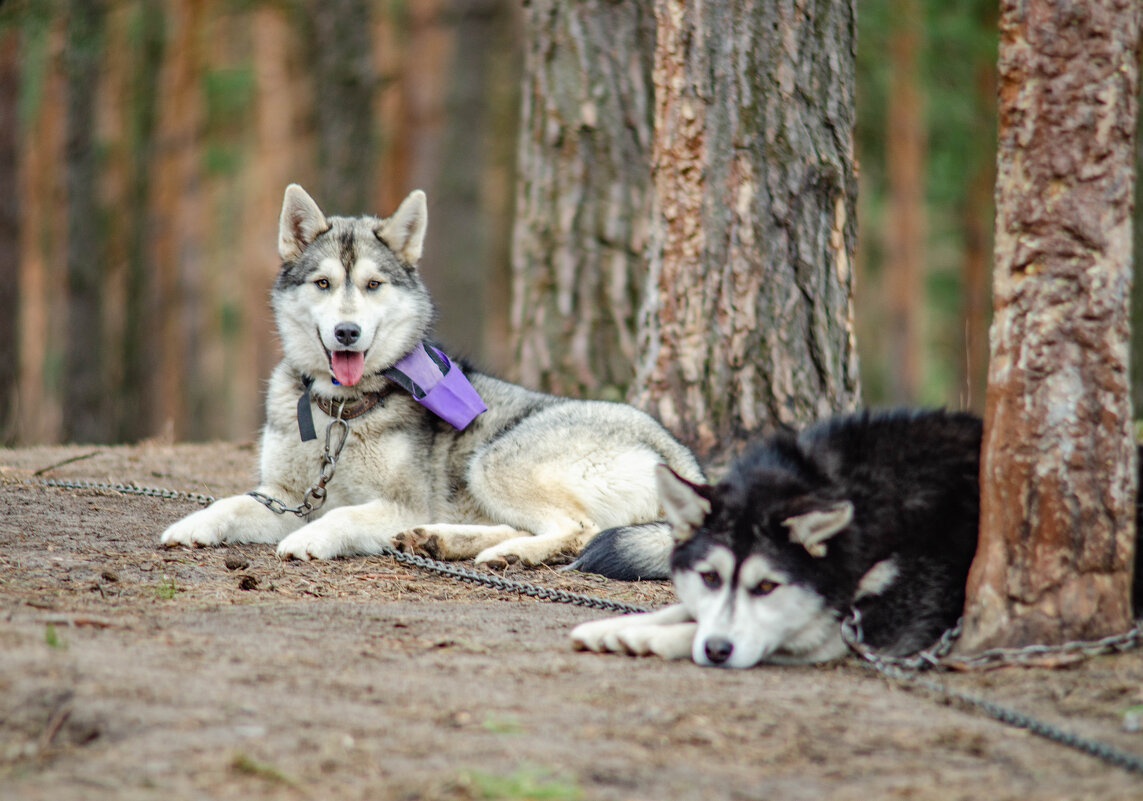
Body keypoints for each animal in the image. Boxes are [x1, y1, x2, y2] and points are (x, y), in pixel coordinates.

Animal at [576, 409, 987, 667]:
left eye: (767, 587)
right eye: (710, 577)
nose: (717, 650)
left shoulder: (893, 621)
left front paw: (653, 639)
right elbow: (682, 609)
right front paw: (610, 628)